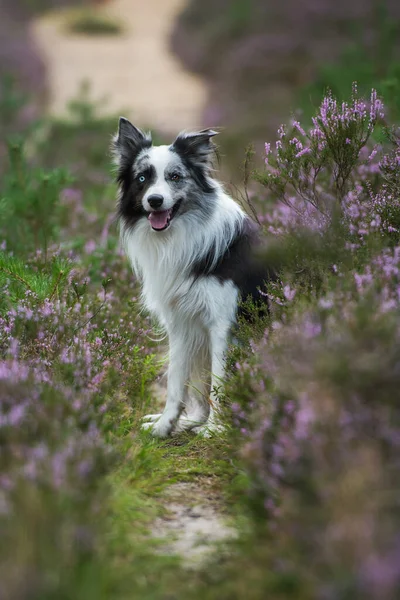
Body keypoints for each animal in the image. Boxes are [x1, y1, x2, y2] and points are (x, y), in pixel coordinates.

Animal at [111, 118, 268, 436]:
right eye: (142, 178)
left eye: (175, 176)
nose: (155, 201)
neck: (177, 236)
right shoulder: (182, 323)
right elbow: (176, 380)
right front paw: (165, 425)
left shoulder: (222, 324)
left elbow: (220, 379)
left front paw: (216, 429)